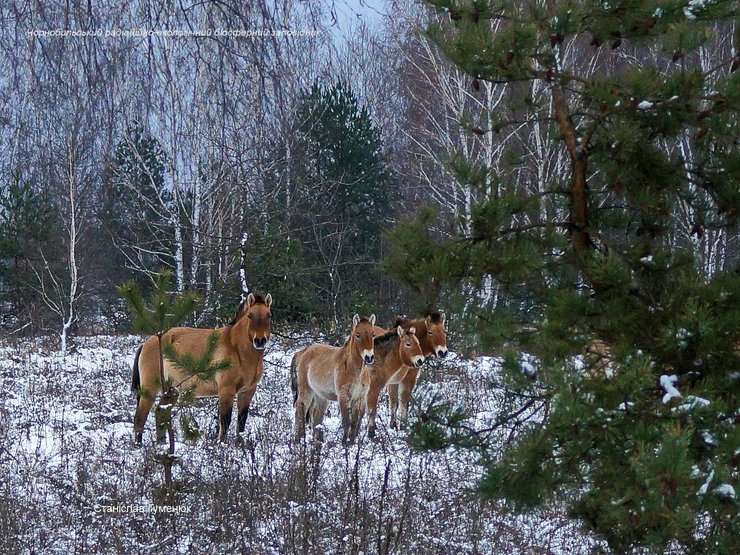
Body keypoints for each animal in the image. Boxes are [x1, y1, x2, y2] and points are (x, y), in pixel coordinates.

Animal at [131, 292, 272, 444]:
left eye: (269, 315)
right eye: (250, 315)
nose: (260, 341)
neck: (237, 349)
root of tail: (146, 343)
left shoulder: (248, 391)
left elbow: (241, 423)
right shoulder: (226, 390)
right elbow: (225, 421)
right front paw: (222, 446)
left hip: (171, 391)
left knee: (161, 414)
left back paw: (161, 445)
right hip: (150, 388)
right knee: (140, 419)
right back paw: (139, 445)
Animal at [291, 314, 376, 445]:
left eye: (373, 334)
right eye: (358, 335)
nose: (369, 357)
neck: (356, 370)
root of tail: (303, 351)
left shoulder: (359, 398)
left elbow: (354, 422)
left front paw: (351, 443)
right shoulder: (343, 396)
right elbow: (346, 421)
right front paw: (345, 443)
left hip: (320, 396)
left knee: (317, 416)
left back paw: (318, 441)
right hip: (306, 390)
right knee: (300, 409)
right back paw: (299, 440)